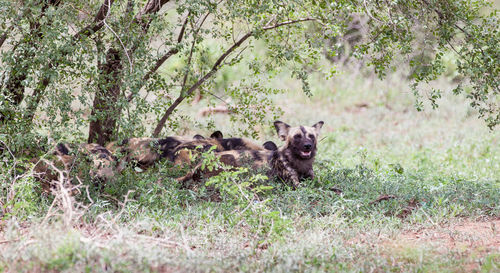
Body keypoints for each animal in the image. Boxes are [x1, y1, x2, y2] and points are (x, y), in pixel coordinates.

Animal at [176, 120, 324, 186]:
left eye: (311, 136)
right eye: (297, 137)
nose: (307, 146)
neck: (300, 163)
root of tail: (196, 167)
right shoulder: (294, 184)